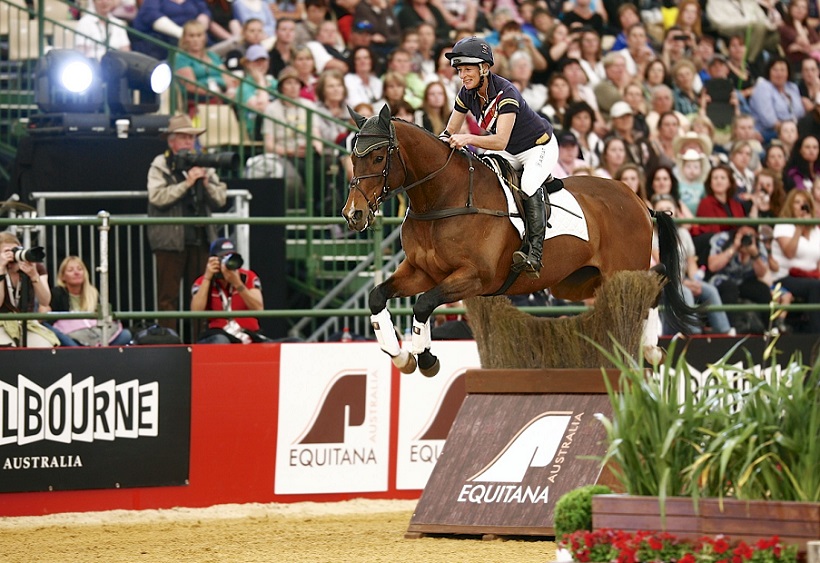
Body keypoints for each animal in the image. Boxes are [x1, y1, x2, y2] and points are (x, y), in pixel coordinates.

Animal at [342, 105, 696, 376]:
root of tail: (638, 200)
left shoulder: (474, 277)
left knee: (654, 281)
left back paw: (650, 349)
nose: (353, 214)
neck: (441, 199)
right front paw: (400, 355)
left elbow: (424, 303)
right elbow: (378, 296)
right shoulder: (421, 272)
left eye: (378, 158)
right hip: (578, 283)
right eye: (353, 158)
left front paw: (426, 358)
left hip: (621, 270)